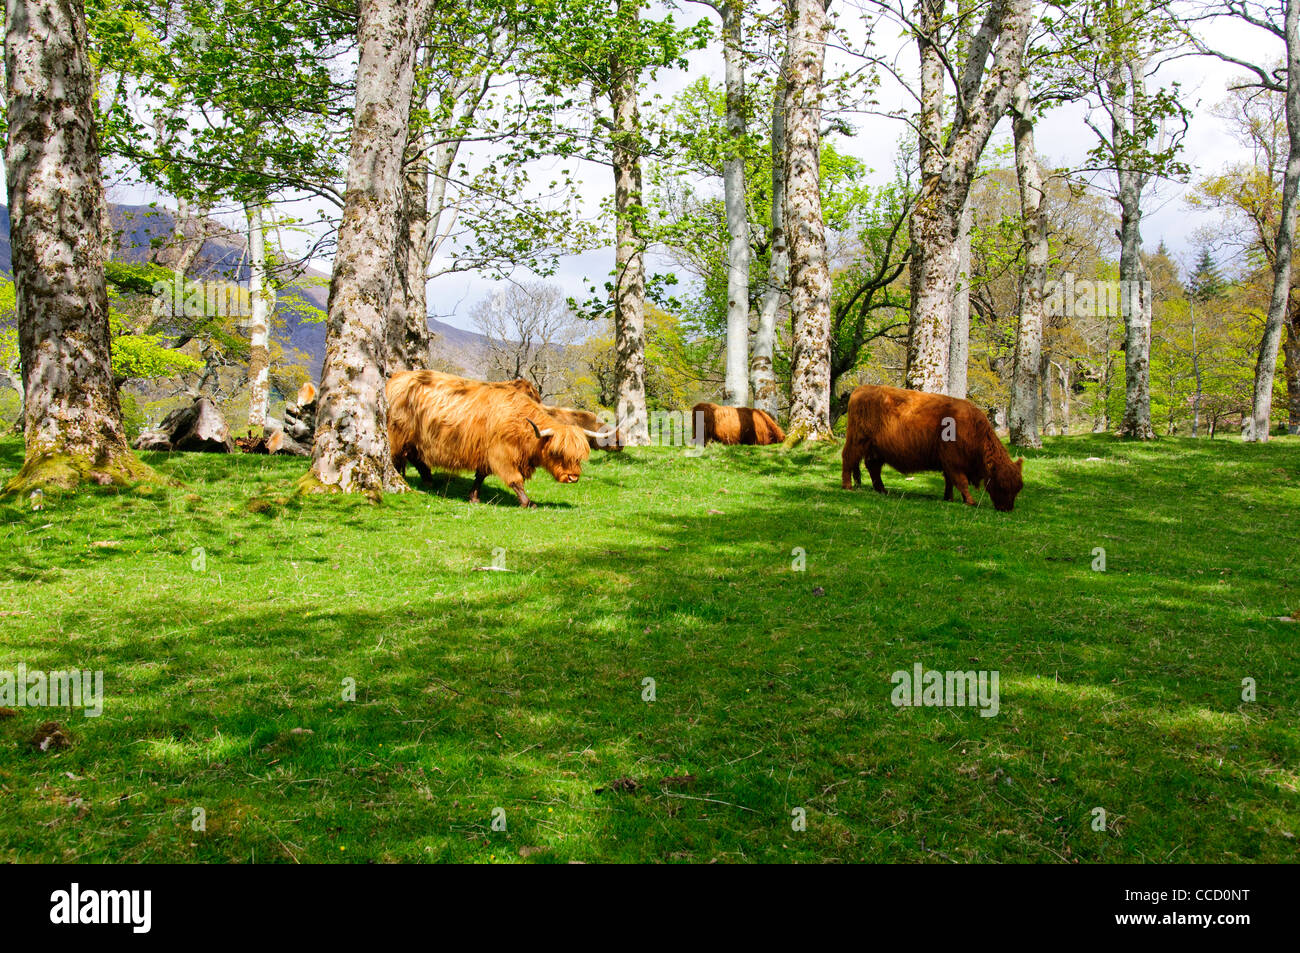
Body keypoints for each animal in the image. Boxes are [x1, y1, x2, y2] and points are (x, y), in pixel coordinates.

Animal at [386, 370, 600, 507]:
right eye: (556, 452)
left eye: (579, 456)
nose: (573, 477)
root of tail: (395, 378)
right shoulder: (501, 453)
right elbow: (515, 479)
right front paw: (527, 502)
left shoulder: (486, 452)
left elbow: (480, 475)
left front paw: (473, 497)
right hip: (397, 435)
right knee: (398, 458)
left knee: (415, 458)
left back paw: (429, 481)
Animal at [840, 384, 1024, 511]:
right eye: (1001, 484)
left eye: (1018, 487)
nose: (1007, 508)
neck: (974, 429)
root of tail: (861, 389)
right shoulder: (953, 462)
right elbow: (961, 482)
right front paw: (970, 501)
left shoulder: (948, 464)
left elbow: (950, 482)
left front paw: (949, 498)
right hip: (857, 441)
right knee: (848, 460)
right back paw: (848, 486)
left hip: (876, 450)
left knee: (873, 468)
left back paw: (882, 490)